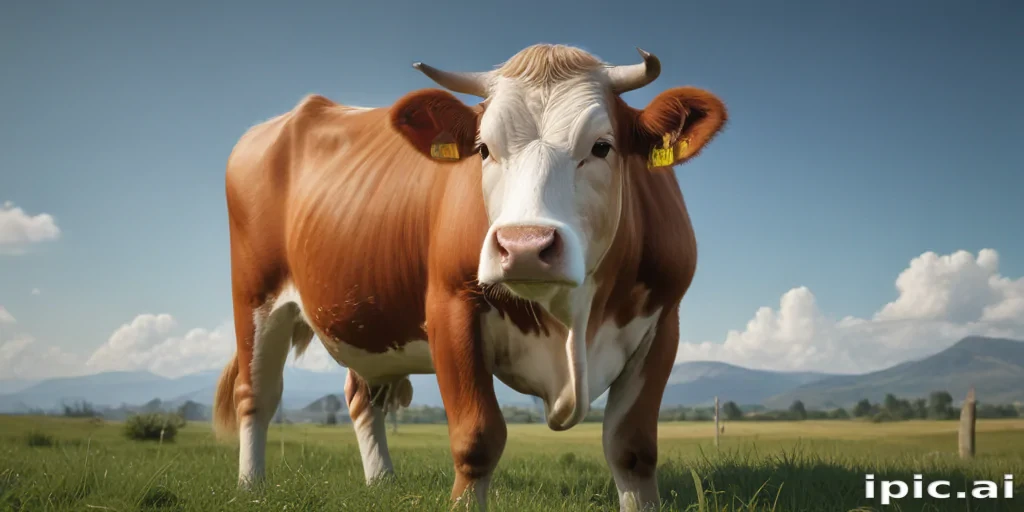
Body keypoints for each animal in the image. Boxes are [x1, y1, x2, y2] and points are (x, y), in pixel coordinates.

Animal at [213, 43, 727, 511]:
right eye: (483, 149)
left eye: (602, 146)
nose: (524, 246)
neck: (572, 321)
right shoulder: (450, 303)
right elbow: (477, 438)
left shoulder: (665, 319)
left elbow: (632, 448)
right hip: (254, 294)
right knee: (256, 394)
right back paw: (250, 488)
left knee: (362, 397)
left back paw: (381, 483)